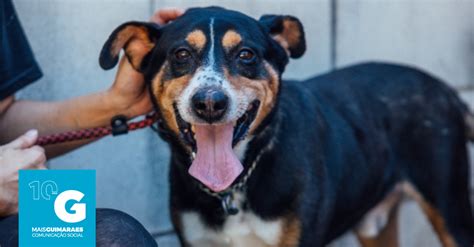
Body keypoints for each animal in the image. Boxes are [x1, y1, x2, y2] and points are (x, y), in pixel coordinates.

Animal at [98, 6, 472, 246]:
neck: (234, 186)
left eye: (246, 54)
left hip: (450, 208)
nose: (209, 103)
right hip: (374, 226)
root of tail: (444, 88)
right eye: (181, 54)